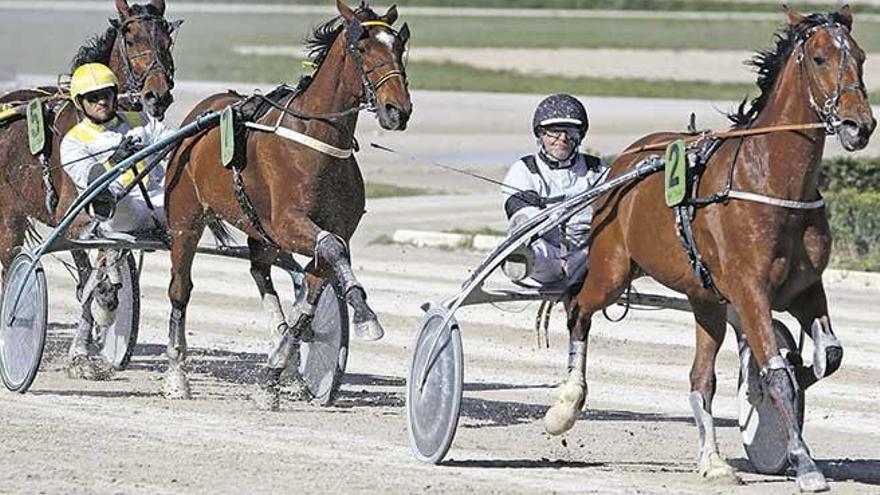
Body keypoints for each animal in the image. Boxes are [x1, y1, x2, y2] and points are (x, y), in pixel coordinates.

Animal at [163, 0, 410, 406]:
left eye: (399, 46)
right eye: (361, 48)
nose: (397, 110)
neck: (317, 142)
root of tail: (202, 112)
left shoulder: (330, 230)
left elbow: (313, 292)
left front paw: (275, 371)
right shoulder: (289, 223)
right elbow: (332, 249)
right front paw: (364, 314)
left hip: (258, 231)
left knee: (261, 274)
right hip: (186, 221)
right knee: (180, 288)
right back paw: (176, 374)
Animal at [544, 5, 872, 494]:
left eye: (862, 58)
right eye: (819, 58)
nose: (859, 126)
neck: (771, 181)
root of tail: (629, 158)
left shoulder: (806, 290)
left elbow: (827, 356)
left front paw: (786, 380)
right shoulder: (751, 289)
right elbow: (777, 373)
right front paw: (804, 462)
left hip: (705, 300)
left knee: (701, 379)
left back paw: (713, 461)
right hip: (613, 269)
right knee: (578, 309)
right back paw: (566, 404)